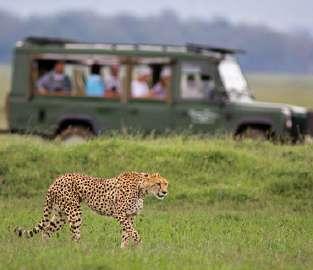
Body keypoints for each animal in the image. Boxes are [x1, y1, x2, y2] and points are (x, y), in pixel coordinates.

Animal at [15, 172, 168, 248]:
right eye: (158, 183)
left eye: (166, 184)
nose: (165, 192)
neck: (142, 189)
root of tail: (56, 180)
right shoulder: (120, 214)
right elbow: (134, 232)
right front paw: (140, 245)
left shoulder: (129, 216)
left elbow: (127, 233)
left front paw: (124, 250)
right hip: (74, 211)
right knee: (74, 235)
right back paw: (80, 251)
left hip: (61, 214)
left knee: (47, 229)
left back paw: (45, 249)